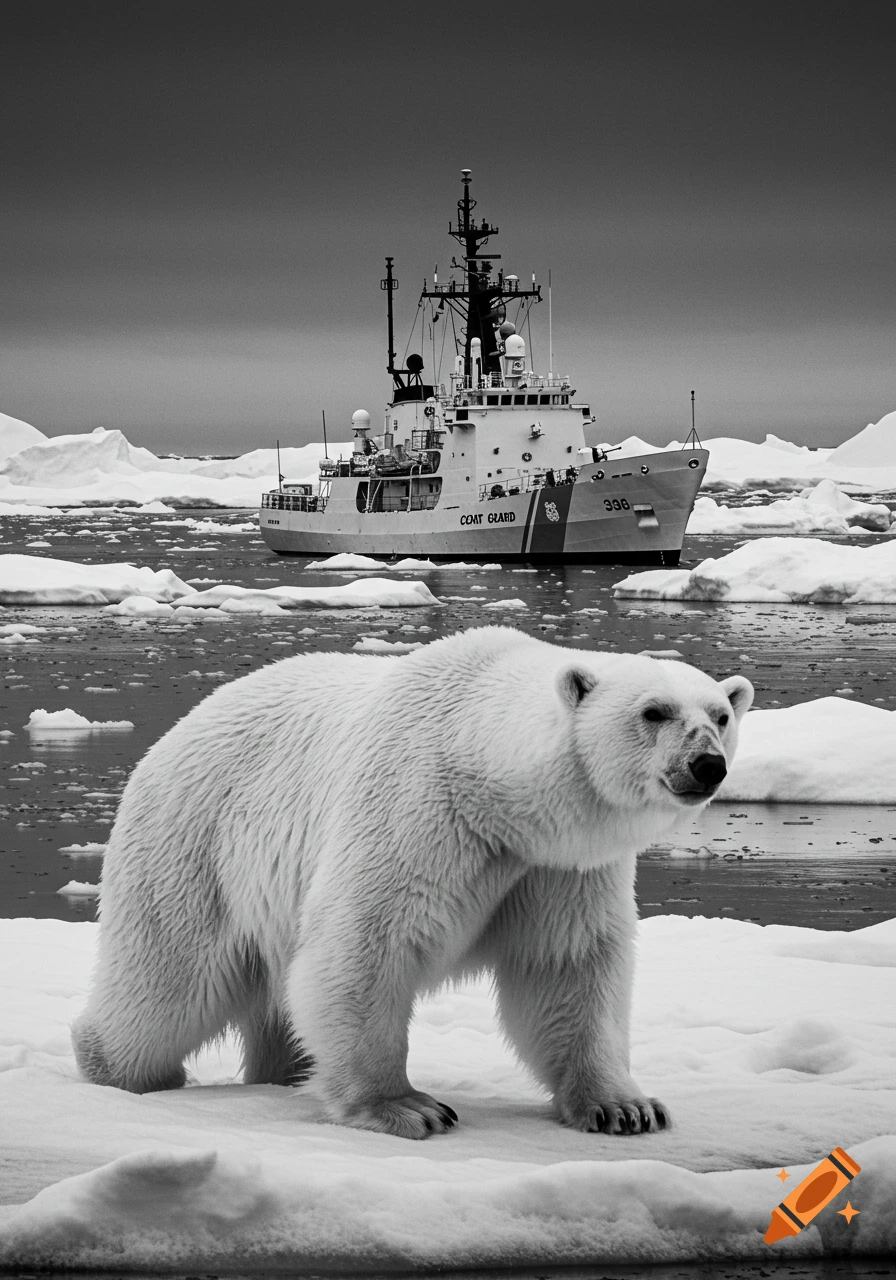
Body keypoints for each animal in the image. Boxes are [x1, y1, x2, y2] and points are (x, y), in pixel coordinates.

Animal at [72, 626, 753, 1139]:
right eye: (653, 711)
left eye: (721, 715)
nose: (707, 765)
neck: (488, 777)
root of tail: (173, 733)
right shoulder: (418, 805)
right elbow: (365, 943)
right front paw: (407, 1107)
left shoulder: (559, 865)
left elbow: (569, 963)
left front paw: (625, 1107)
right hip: (196, 845)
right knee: (169, 983)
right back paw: (118, 1069)